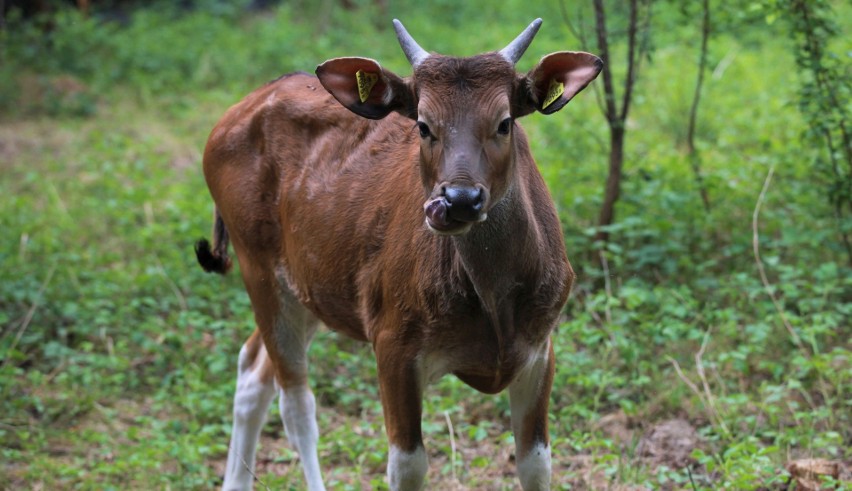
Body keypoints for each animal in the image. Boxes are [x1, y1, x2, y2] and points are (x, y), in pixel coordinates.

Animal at [196, 17, 604, 490]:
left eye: (505, 122)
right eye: (423, 125)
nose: (459, 199)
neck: (496, 305)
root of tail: (229, 119)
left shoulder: (541, 347)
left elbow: (536, 464)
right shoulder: (393, 343)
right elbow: (407, 465)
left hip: (309, 287)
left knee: (253, 371)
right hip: (256, 264)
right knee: (296, 403)